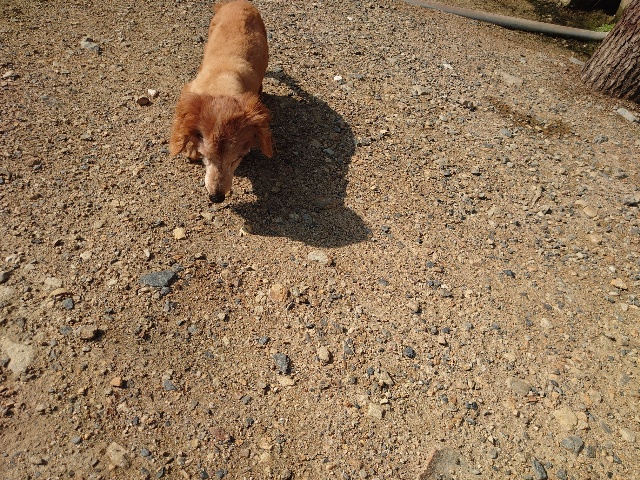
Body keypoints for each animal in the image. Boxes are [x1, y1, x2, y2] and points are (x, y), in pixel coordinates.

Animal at [169, 0, 272, 203]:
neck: (222, 84)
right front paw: (190, 148)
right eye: (206, 157)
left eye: (236, 159)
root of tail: (239, 2)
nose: (216, 197)